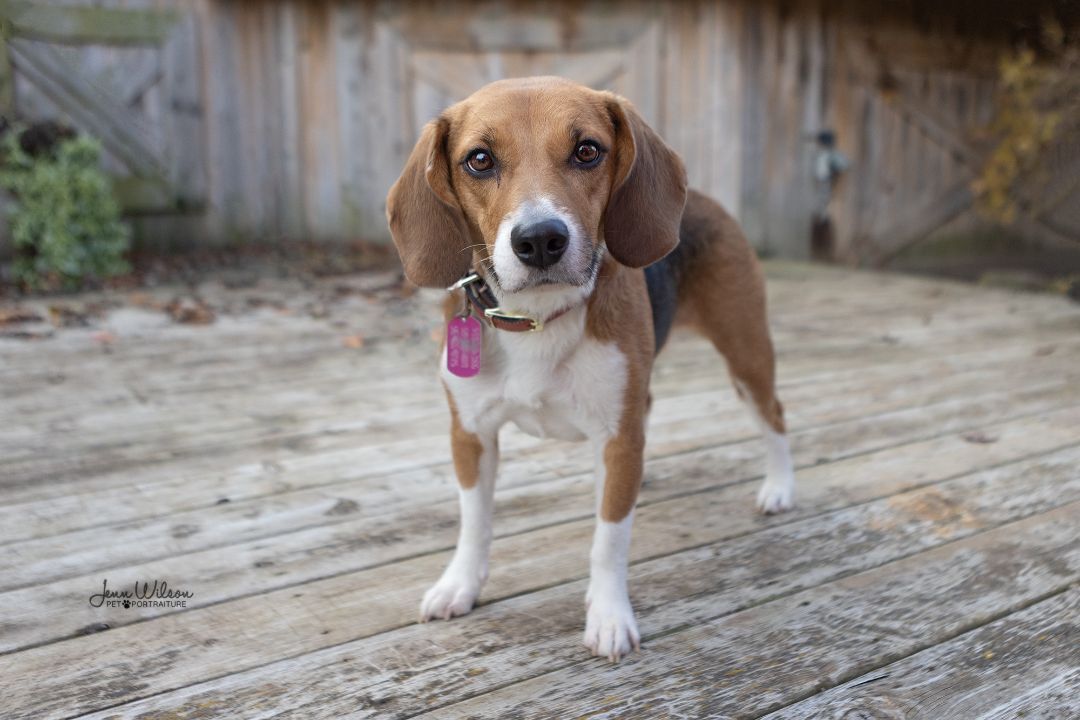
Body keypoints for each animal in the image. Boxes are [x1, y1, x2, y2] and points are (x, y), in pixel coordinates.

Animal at [388, 76, 794, 660]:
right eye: (479, 160)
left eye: (587, 151)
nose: (539, 240)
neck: (536, 318)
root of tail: (702, 199)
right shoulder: (469, 434)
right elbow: (474, 523)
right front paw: (459, 584)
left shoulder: (617, 437)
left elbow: (609, 538)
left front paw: (608, 616)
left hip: (746, 353)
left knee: (775, 416)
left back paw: (779, 488)